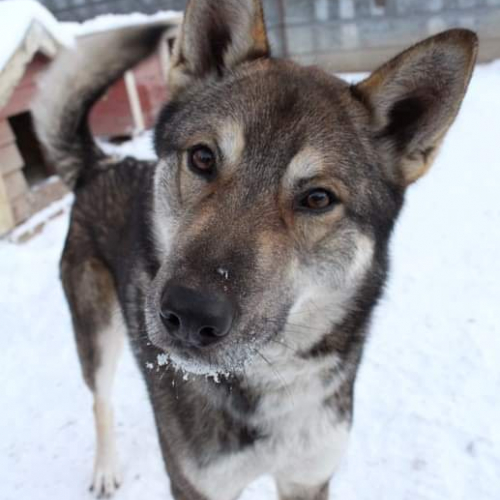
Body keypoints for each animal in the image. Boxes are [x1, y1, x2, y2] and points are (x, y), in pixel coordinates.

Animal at [33, 1, 478, 498]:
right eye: (203, 158)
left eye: (317, 198)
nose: (190, 315)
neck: (269, 380)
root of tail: (102, 164)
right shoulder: (198, 483)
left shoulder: (308, 477)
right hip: (97, 333)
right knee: (101, 399)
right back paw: (106, 468)